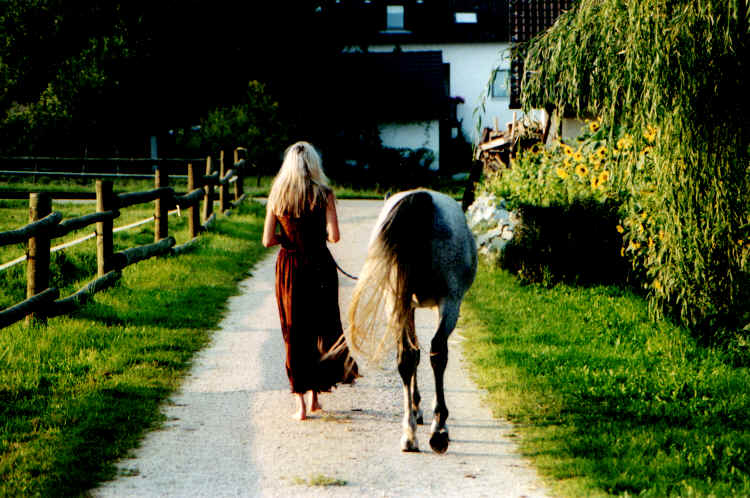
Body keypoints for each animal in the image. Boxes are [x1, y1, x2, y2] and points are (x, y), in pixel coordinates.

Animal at [346, 188, 477, 453]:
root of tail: (421, 197)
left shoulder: (409, 305)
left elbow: (413, 351)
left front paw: (415, 409)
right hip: (450, 302)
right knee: (438, 353)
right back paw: (439, 430)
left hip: (397, 301)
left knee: (407, 356)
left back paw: (409, 434)